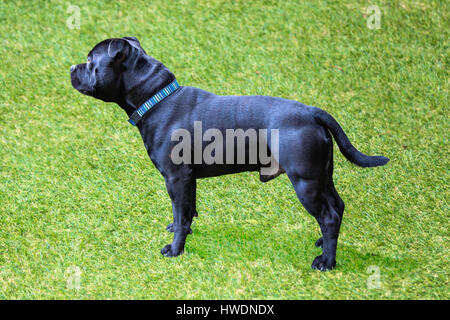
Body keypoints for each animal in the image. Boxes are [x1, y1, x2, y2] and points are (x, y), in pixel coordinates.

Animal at [70, 37, 386, 270]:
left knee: (329, 216)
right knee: (337, 206)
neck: (156, 98)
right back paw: (323, 243)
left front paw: (175, 250)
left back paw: (326, 262)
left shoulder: (176, 177)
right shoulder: (187, 179)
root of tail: (311, 112)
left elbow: (180, 210)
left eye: (90, 61)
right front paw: (181, 231)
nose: (72, 67)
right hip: (322, 176)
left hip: (305, 182)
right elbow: (186, 211)